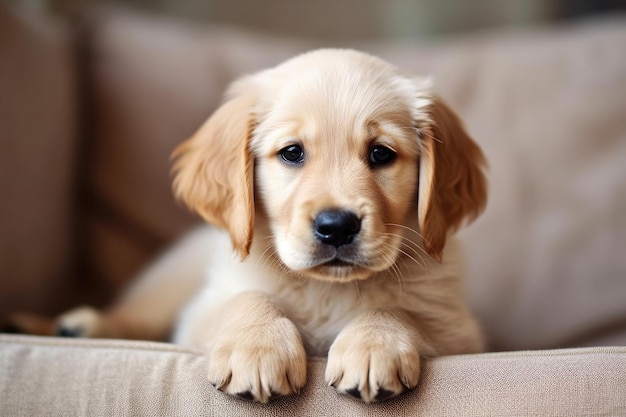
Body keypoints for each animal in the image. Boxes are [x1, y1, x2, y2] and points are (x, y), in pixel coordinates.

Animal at [8, 49, 488, 404]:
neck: (325, 289)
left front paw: (374, 343)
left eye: (381, 154)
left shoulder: (461, 333)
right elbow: (247, 298)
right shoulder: (200, 314)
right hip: (168, 283)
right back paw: (72, 324)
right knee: (135, 317)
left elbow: (401, 308)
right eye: (292, 152)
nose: (336, 227)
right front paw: (257, 347)